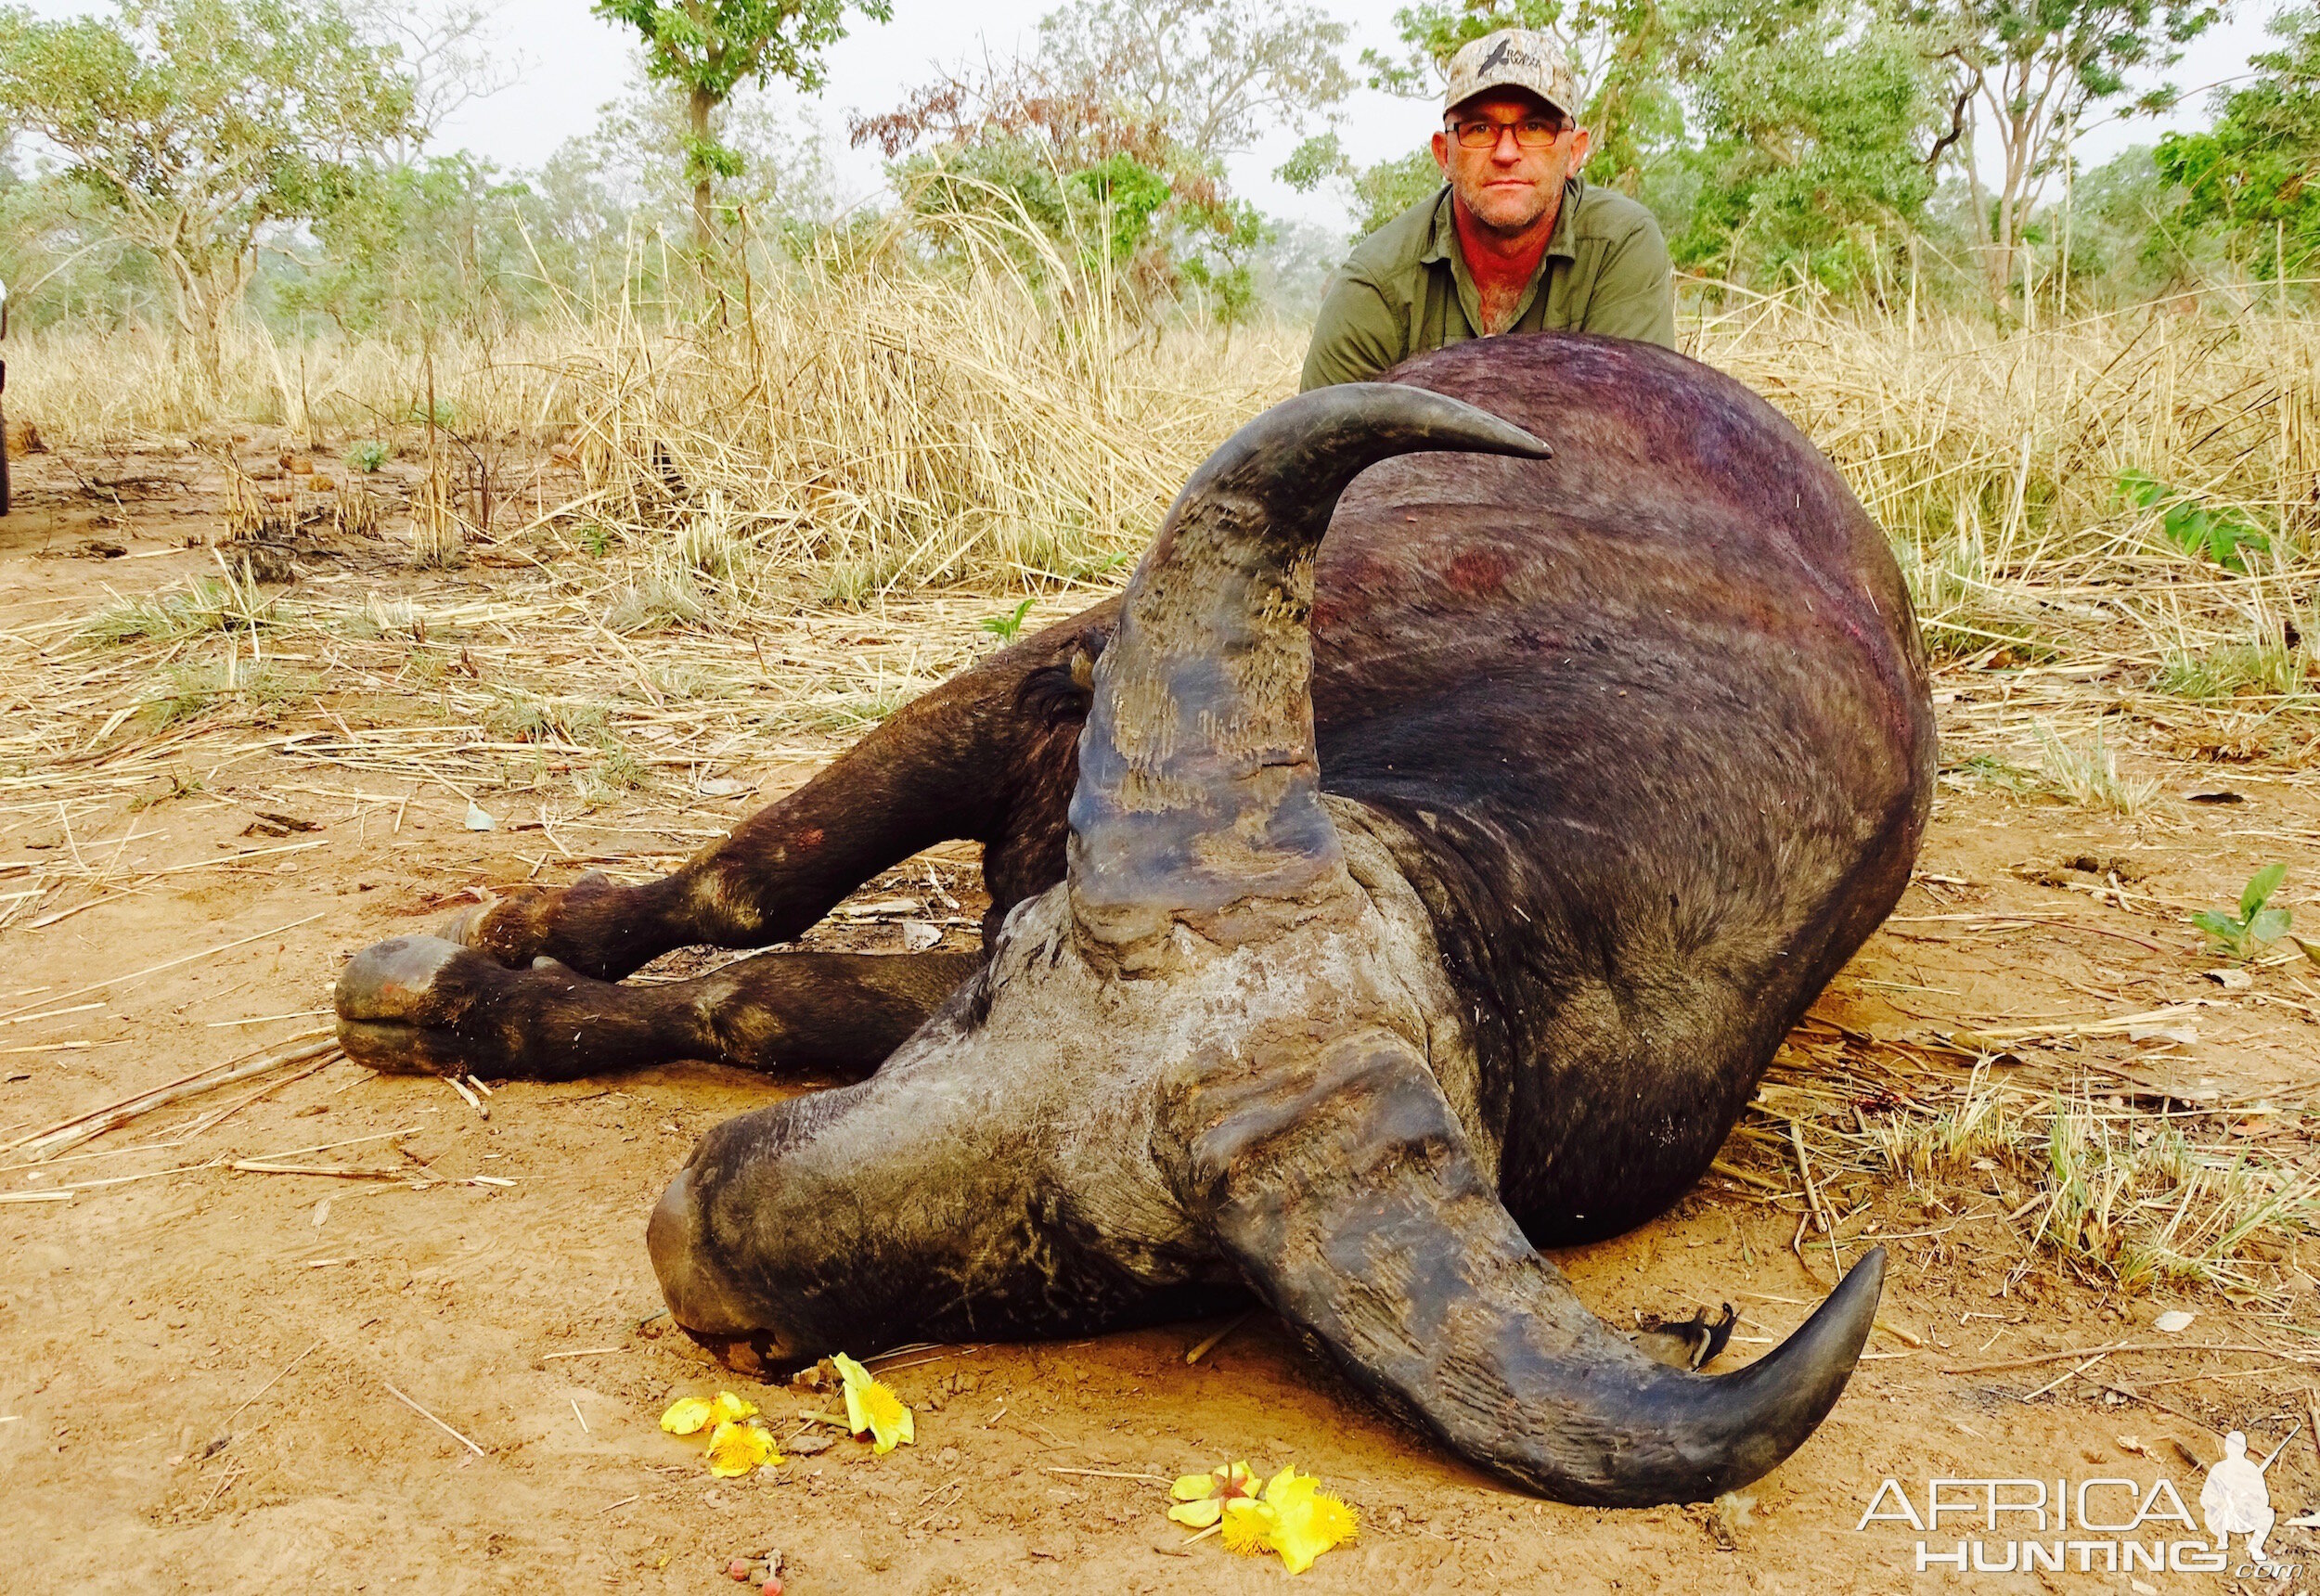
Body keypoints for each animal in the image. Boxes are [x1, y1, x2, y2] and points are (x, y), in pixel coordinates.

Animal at [336, 329, 1930, 1503]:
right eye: (1000, 982)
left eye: (1097, 1256)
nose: (692, 1249)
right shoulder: (1022, 696)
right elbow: (754, 884)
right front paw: (462, 970)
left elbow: (775, 995)